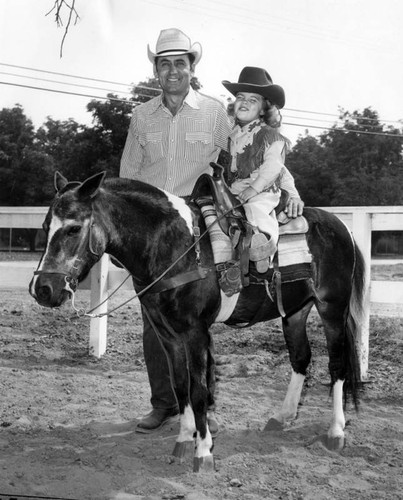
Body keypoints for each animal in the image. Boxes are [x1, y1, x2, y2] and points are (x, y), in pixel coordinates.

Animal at [30, 172, 366, 472]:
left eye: (74, 228)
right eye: (46, 226)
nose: (42, 289)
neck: (177, 246)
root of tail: (343, 229)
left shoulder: (196, 333)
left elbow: (200, 390)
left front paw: (203, 453)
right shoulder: (168, 334)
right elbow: (181, 386)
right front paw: (182, 441)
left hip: (331, 308)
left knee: (337, 365)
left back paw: (336, 432)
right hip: (294, 312)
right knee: (300, 358)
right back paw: (282, 417)